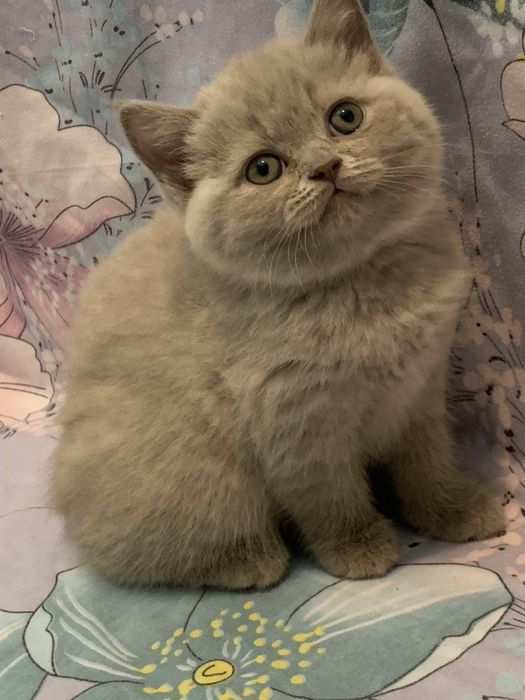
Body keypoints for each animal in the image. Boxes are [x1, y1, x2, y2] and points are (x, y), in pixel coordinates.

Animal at [51, 0, 505, 589]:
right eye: (263, 169)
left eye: (345, 117)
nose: (325, 167)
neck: (362, 282)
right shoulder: (293, 422)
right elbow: (328, 496)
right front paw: (357, 547)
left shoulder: (419, 392)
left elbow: (428, 463)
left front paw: (453, 510)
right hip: (199, 472)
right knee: (143, 547)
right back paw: (249, 559)